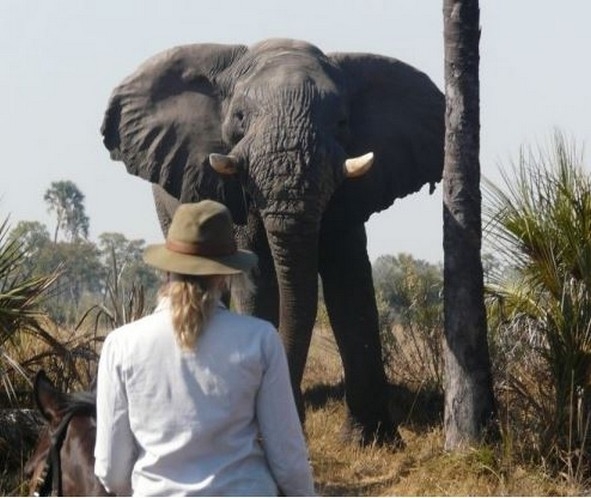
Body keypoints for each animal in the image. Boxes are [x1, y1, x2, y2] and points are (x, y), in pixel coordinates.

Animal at [102, 38, 444, 444]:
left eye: (342, 123)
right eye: (239, 118)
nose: (296, 418)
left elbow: (349, 283)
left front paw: (372, 440)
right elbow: (260, 279)